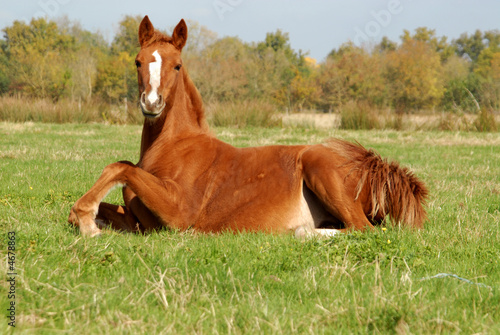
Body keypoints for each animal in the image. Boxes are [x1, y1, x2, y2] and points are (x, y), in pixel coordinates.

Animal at [67, 15, 430, 238]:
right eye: (138, 61)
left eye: (177, 65)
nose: (152, 104)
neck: (172, 147)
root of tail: (370, 165)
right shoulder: (140, 222)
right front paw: (91, 219)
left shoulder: (179, 214)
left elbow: (120, 167)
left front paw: (85, 218)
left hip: (320, 169)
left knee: (361, 229)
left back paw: (299, 231)